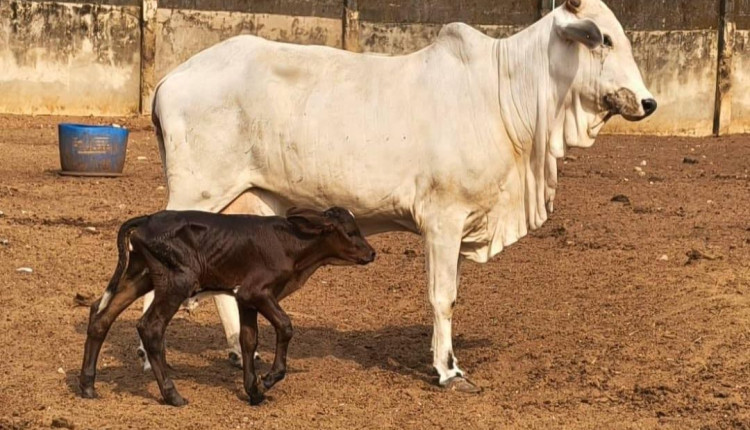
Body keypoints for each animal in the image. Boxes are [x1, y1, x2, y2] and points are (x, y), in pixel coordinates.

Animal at [79, 207, 375, 406]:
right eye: (350, 231)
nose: (371, 253)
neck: (291, 244)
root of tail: (149, 218)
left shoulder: (244, 298)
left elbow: (248, 339)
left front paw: (253, 391)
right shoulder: (256, 291)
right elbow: (285, 326)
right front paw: (269, 379)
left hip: (141, 275)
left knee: (100, 315)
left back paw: (87, 386)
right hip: (178, 280)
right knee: (150, 327)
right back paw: (173, 395)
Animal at [145, 0, 656, 393]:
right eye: (604, 40)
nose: (648, 102)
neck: (504, 94)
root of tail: (172, 79)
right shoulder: (443, 219)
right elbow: (443, 297)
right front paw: (448, 371)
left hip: (243, 200)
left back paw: (236, 351)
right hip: (196, 191)